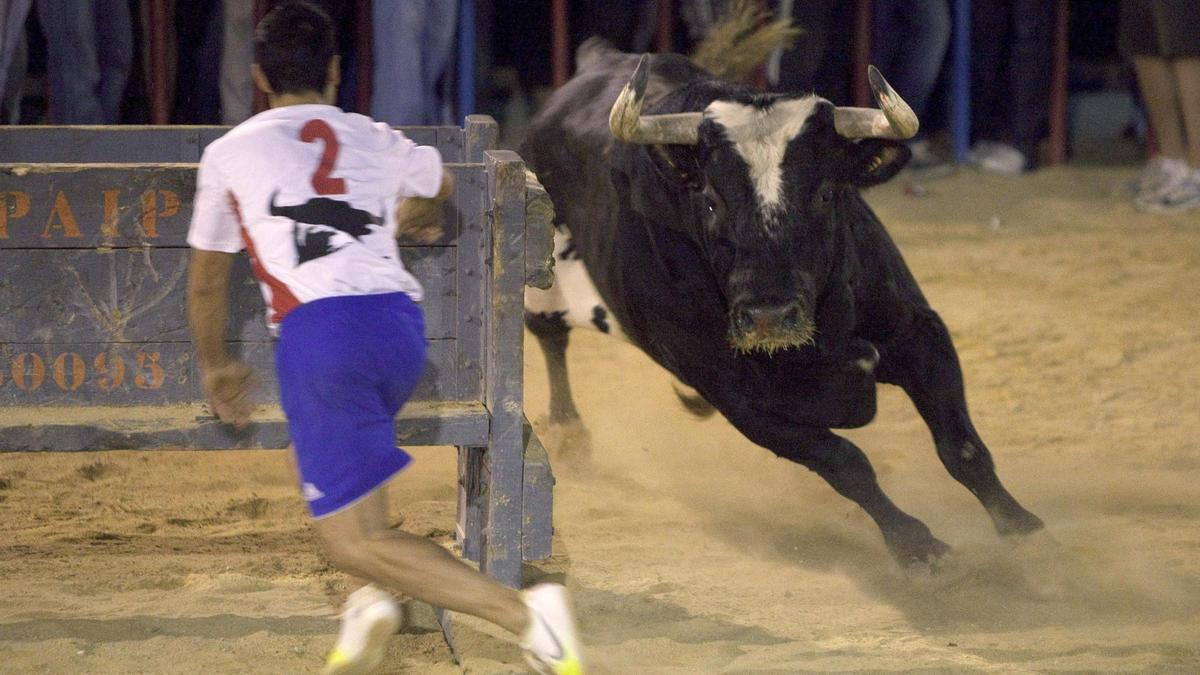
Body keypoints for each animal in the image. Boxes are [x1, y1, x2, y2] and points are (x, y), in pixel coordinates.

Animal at [520, 44, 1046, 564]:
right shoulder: (738, 399)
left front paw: (1023, 528)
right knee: (551, 337)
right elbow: (845, 463)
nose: (768, 317)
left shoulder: (918, 331)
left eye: (826, 193)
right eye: (711, 201)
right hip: (543, 287)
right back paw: (570, 434)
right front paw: (915, 544)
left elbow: (961, 447)